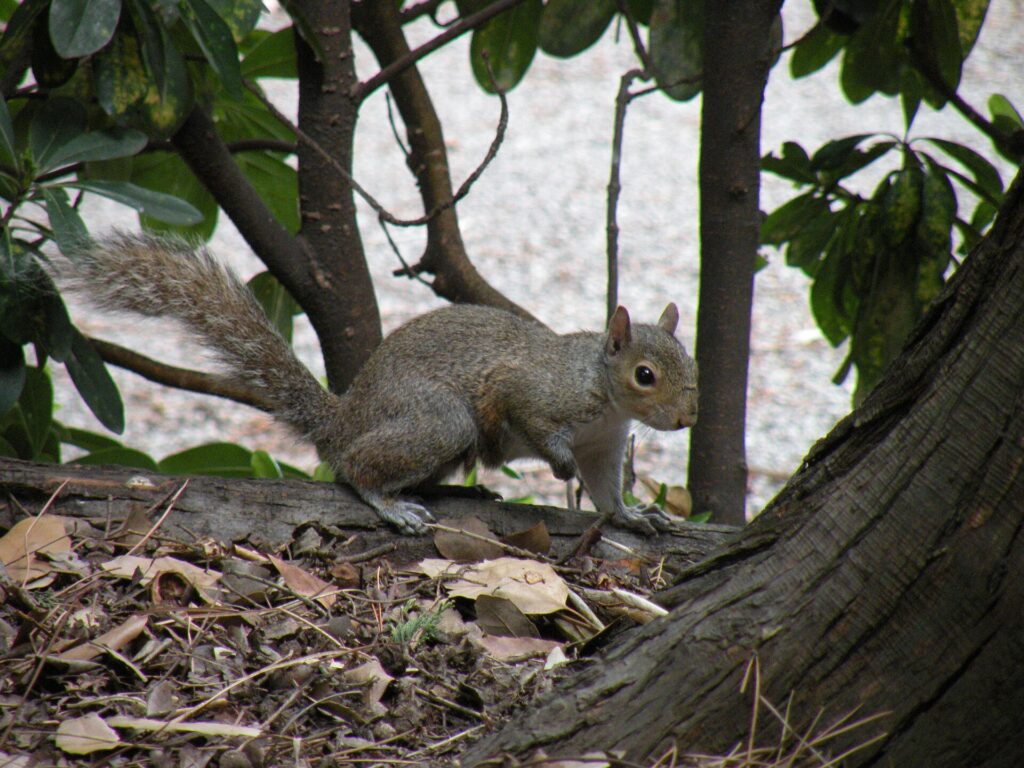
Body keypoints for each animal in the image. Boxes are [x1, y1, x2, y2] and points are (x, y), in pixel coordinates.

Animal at [68, 233, 699, 535]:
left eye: (690, 365)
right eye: (645, 375)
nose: (688, 419)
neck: (606, 401)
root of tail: (344, 419)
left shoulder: (606, 446)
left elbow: (607, 493)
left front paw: (634, 517)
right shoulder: (533, 391)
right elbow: (529, 418)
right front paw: (559, 466)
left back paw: (457, 492)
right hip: (439, 421)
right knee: (353, 468)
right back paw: (392, 505)